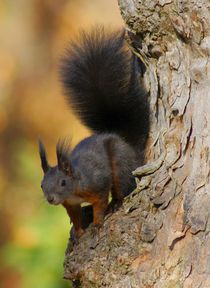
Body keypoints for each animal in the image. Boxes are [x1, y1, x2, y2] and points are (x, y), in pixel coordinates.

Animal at [37, 26, 149, 238]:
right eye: (41, 184)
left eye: (63, 182)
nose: (50, 199)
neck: (75, 189)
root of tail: (127, 144)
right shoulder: (70, 204)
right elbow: (75, 216)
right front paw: (79, 232)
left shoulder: (97, 184)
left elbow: (100, 204)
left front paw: (97, 224)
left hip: (119, 163)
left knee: (122, 185)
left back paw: (116, 203)